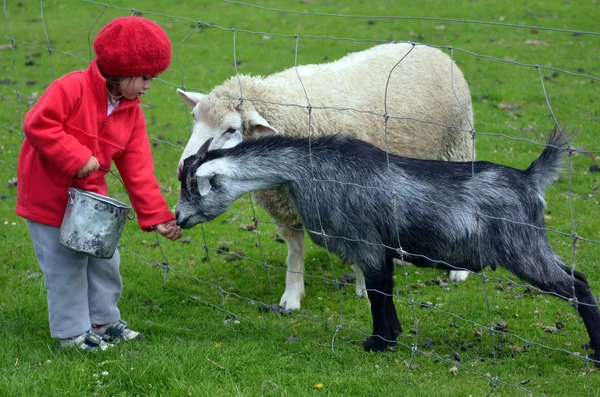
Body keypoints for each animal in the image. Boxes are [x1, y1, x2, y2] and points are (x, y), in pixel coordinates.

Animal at [175, 128, 600, 364]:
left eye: (193, 187)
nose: (177, 218)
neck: (309, 170)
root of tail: (530, 178)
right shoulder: (380, 250)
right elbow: (386, 291)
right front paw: (390, 336)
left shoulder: (365, 243)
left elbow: (378, 292)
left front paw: (377, 342)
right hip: (532, 247)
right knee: (578, 276)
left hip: (523, 250)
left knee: (577, 286)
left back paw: (596, 353)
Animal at [177, 42, 474, 310]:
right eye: (194, 117)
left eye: (230, 129)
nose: (183, 168)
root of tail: (430, 48)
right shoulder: (285, 208)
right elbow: (294, 252)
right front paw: (292, 297)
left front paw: (364, 288)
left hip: (458, 147)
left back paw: (459, 270)